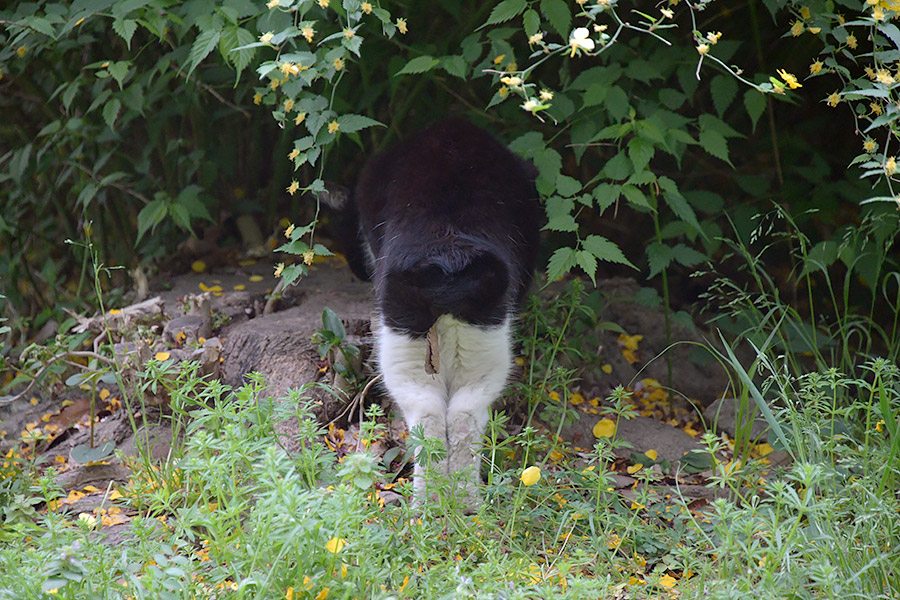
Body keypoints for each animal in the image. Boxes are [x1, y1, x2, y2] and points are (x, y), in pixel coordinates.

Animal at [334, 119, 536, 504]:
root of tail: (448, 251)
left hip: (409, 337)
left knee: (438, 415)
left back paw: (439, 500)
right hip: (474, 338)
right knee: (455, 415)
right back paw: (454, 499)